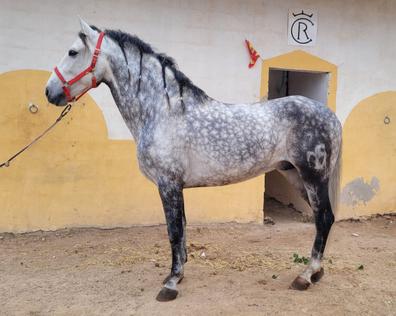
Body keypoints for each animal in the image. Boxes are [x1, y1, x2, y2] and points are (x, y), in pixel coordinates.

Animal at [44, 19, 342, 302]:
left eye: (73, 52)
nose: (49, 92)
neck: (162, 111)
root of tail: (331, 116)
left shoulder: (168, 184)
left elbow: (174, 231)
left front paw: (171, 283)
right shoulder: (176, 186)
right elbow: (183, 229)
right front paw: (179, 274)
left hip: (313, 176)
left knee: (324, 217)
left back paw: (305, 276)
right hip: (295, 175)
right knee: (322, 218)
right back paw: (315, 273)